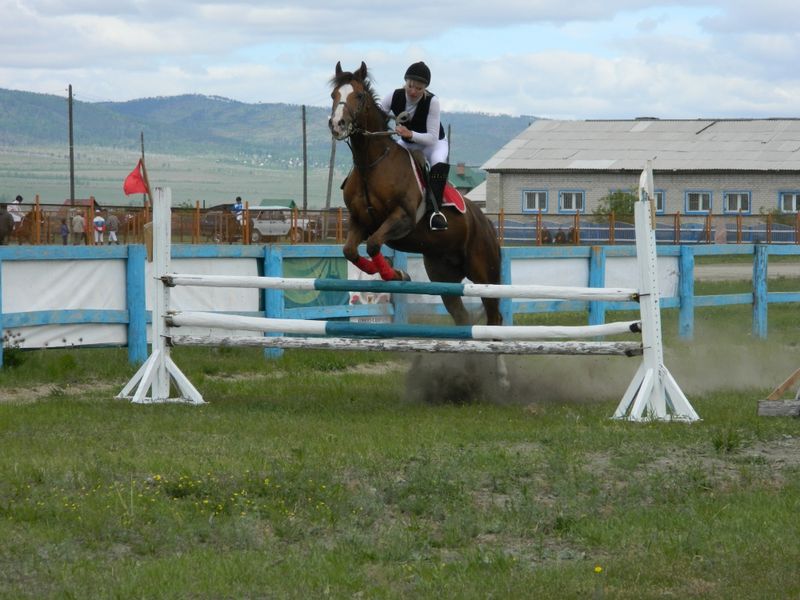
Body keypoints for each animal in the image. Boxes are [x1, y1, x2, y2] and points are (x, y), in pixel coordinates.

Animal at [328, 62, 504, 328]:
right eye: (333, 95)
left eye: (358, 96)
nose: (337, 125)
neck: (372, 165)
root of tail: (485, 221)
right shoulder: (360, 221)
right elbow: (350, 251)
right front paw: (388, 274)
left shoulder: (402, 218)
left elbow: (373, 245)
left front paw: (397, 274)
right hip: (443, 273)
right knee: (460, 314)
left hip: (485, 273)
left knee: (495, 315)